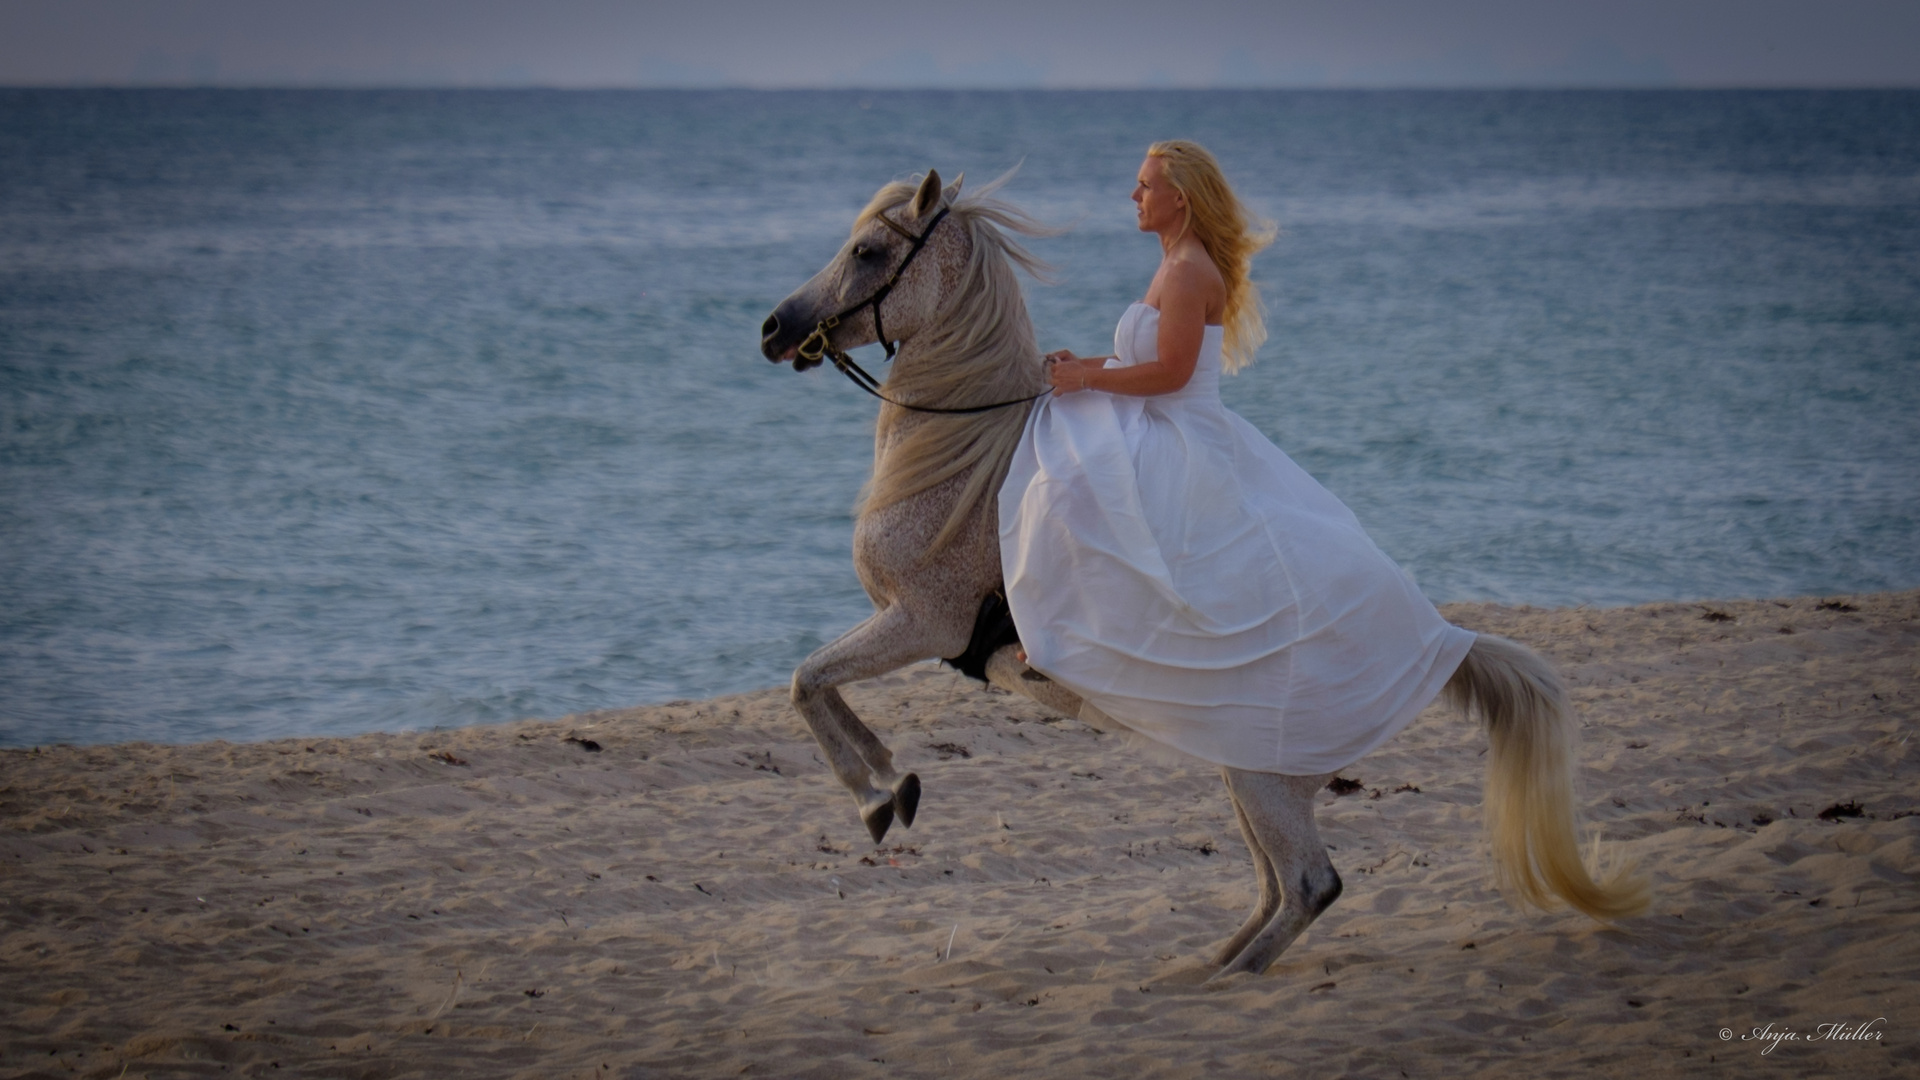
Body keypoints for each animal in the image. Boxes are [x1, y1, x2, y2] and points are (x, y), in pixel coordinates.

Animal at [756, 168, 1643, 976]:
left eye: (868, 251)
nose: (772, 327)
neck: (963, 464)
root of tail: (1439, 645)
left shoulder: (921, 623)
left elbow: (808, 680)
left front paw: (879, 794)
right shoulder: (905, 624)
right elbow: (814, 681)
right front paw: (888, 782)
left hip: (1262, 778)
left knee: (1310, 884)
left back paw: (1222, 981)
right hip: (1242, 768)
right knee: (1275, 886)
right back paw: (1200, 968)